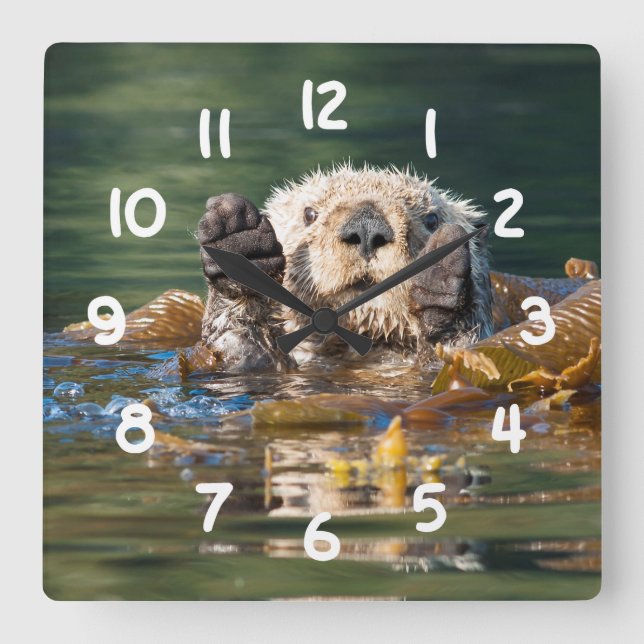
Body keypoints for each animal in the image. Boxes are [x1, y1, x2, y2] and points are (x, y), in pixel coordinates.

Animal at [198, 164, 493, 371]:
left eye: (432, 219)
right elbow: (241, 349)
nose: (367, 227)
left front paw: (441, 281)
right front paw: (238, 236)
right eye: (309, 214)